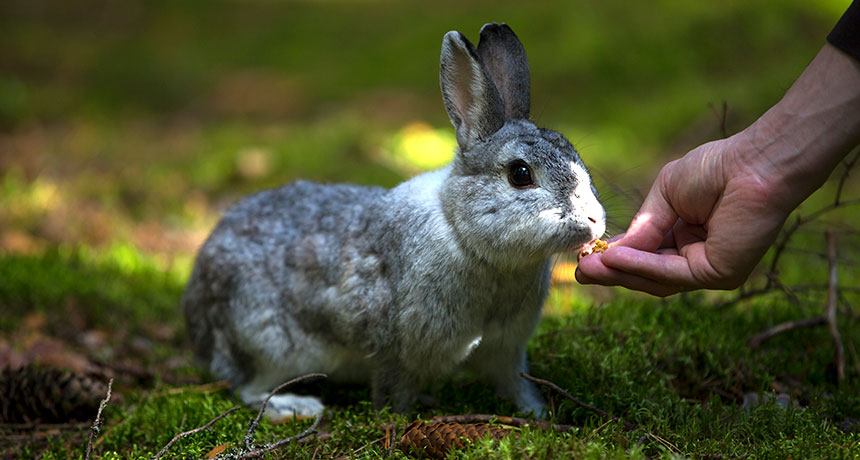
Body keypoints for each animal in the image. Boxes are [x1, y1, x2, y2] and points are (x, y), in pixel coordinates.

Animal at [181, 23, 604, 418]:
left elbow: (514, 382)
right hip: (269, 345)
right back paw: (296, 406)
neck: (462, 232)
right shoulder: (397, 351)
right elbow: (393, 390)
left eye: (574, 154)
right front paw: (398, 421)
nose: (595, 221)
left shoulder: (506, 349)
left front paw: (536, 412)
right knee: (248, 389)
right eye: (520, 174)